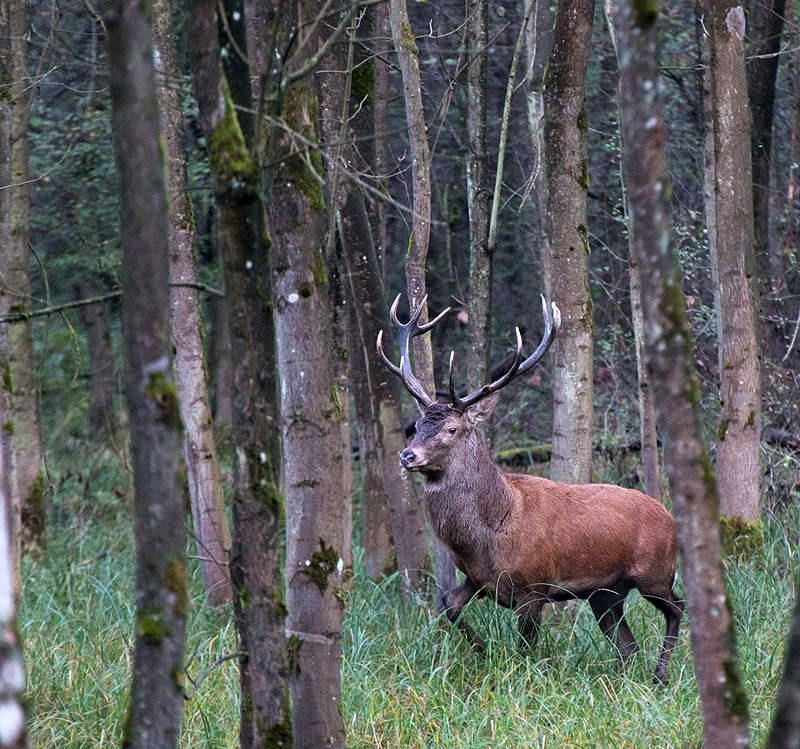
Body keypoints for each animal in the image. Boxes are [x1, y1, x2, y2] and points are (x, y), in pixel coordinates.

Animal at [378, 294, 684, 684]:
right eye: (417, 425)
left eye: (450, 429)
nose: (408, 455)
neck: (486, 534)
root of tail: (670, 517)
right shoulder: (479, 578)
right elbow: (449, 604)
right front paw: (483, 652)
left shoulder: (534, 585)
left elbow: (526, 648)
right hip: (606, 593)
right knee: (626, 646)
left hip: (654, 571)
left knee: (677, 607)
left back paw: (661, 676)